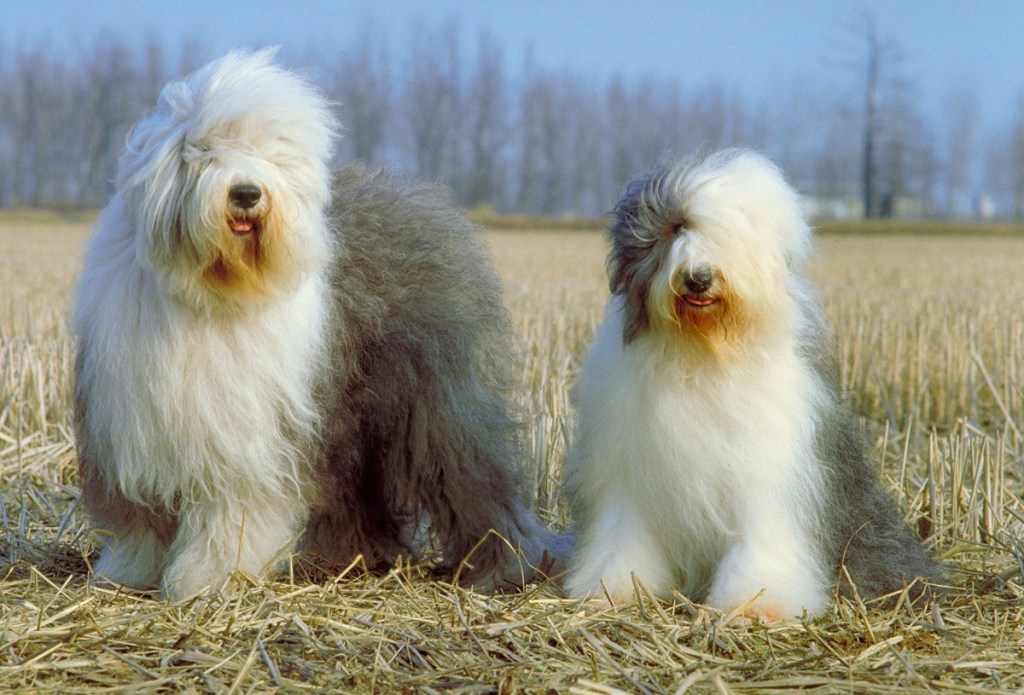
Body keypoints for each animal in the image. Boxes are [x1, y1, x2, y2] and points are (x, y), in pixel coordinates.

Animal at [72, 50, 569, 601]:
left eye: (269, 155)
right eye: (203, 151)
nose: (247, 193)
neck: (213, 291)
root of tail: (429, 201)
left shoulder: (246, 442)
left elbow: (231, 514)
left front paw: (208, 579)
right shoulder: (134, 427)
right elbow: (140, 519)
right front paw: (127, 572)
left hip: (441, 409)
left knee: (478, 484)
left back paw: (507, 568)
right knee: (360, 493)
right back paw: (359, 557)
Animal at [565, 149, 937, 622]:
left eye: (729, 237)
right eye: (674, 231)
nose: (698, 278)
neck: (703, 354)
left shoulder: (768, 476)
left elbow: (761, 538)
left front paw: (758, 604)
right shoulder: (627, 471)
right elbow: (623, 535)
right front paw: (613, 589)